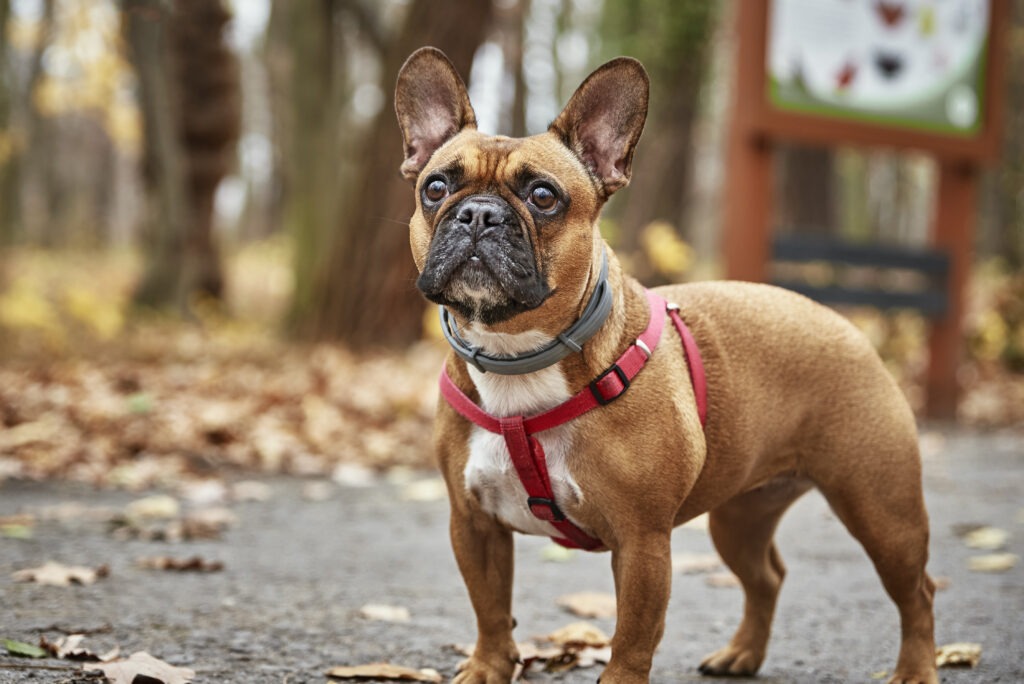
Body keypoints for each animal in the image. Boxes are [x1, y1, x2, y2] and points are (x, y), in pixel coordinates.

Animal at [395, 48, 937, 684]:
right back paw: (741, 654)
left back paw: (916, 669)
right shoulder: (473, 524)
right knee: (766, 576)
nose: (477, 215)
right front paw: (485, 668)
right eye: (435, 188)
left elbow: (632, 636)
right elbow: (489, 609)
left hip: (882, 509)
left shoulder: (642, 541)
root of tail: (846, 325)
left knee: (917, 591)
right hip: (740, 516)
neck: (517, 358)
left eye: (544, 197)